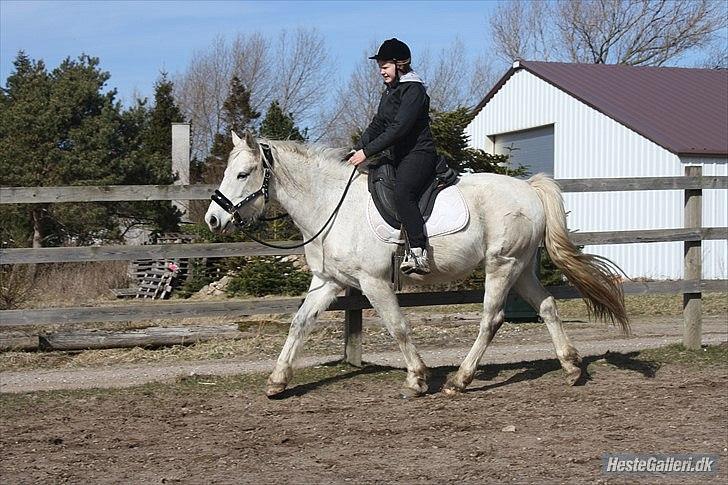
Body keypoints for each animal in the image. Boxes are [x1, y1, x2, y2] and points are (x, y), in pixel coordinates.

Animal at [205, 130, 624, 396]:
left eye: (243, 174)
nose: (213, 219)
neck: (332, 206)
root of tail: (529, 189)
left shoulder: (373, 282)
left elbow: (398, 327)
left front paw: (418, 379)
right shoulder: (328, 282)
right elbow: (299, 323)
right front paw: (277, 382)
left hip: (501, 265)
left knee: (491, 318)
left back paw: (460, 380)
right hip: (519, 268)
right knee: (548, 307)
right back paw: (571, 368)